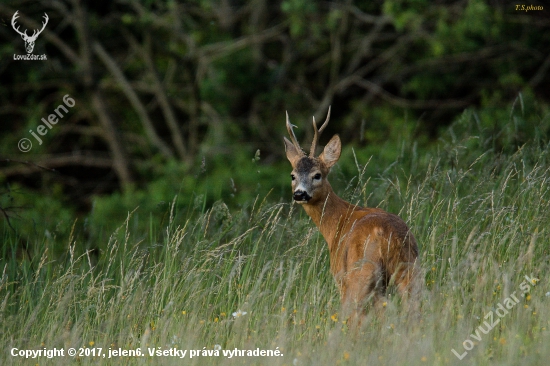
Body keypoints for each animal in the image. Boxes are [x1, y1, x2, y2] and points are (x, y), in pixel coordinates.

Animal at [286, 107, 420, 322]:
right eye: (293, 175)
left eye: (317, 175)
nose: (299, 194)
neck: (337, 223)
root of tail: (386, 235)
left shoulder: (340, 275)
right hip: (409, 266)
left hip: (362, 272)